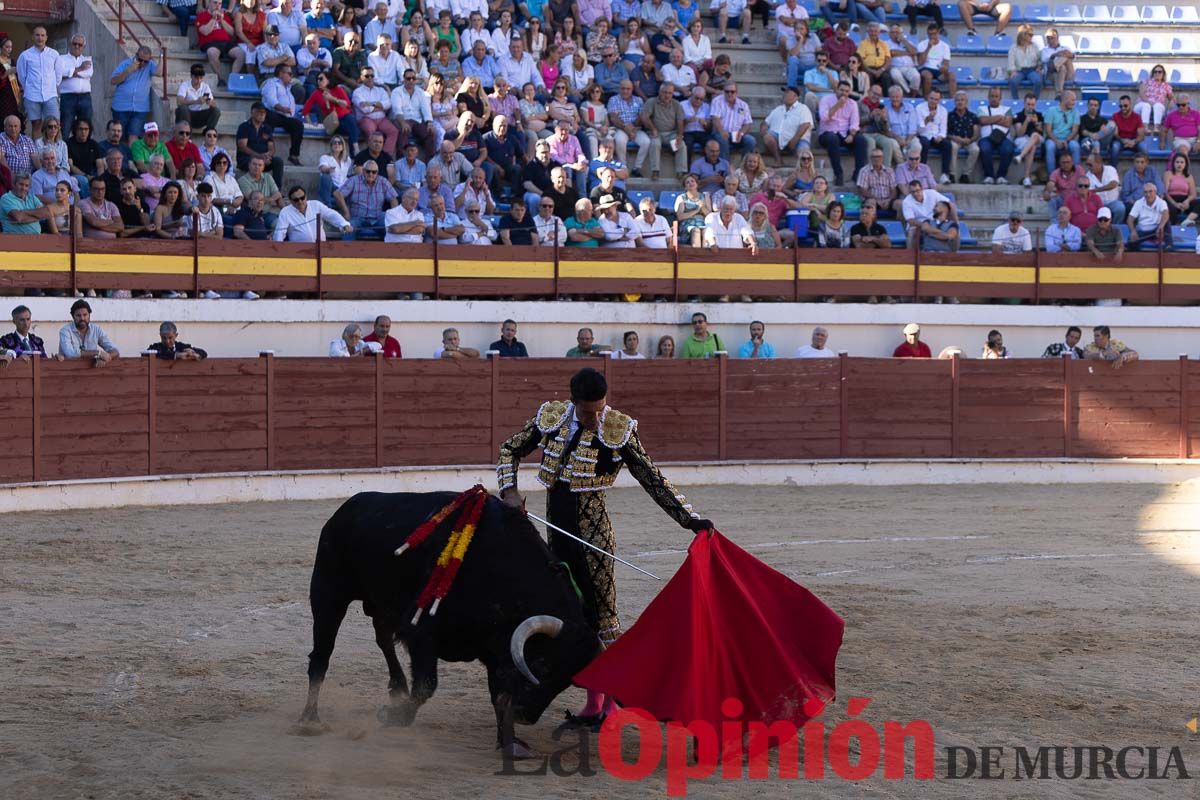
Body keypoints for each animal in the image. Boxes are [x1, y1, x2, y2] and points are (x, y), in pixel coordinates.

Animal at [300, 491, 600, 753]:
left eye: (566, 681)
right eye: (542, 665)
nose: (525, 716)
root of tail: (346, 509)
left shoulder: (497, 648)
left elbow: (499, 695)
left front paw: (509, 743)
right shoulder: (419, 632)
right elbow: (427, 685)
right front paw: (393, 716)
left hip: (381, 604)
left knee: (383, 638)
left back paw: (398, 687)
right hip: (328, 593)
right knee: (321, 656)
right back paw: (310, 719)